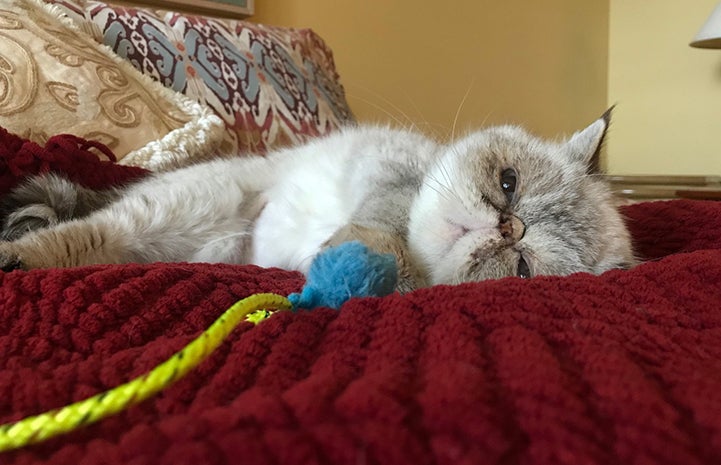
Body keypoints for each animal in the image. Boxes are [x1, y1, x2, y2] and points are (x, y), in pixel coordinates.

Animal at [0, 109, 632, 290]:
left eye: (523, 266)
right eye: (508, 183)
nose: (506, 228)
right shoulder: (388, 170)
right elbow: (386, 226)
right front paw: (363, 250)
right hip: (185, 205)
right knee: (77, 234)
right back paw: (18, 255)